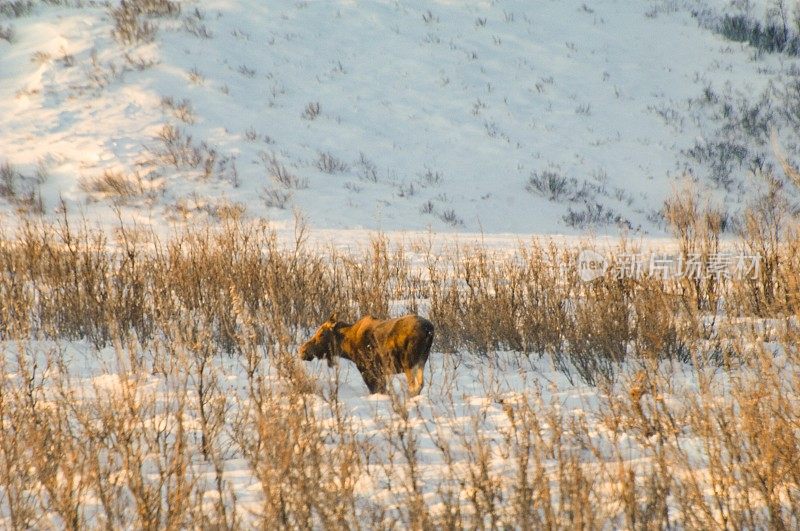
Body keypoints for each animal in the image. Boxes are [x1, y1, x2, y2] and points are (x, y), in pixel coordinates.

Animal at [300, 314, 438, 396]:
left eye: (321, 334)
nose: (302, 350)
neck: (346, 347)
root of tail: (429, 330)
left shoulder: (368, 369)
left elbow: (376, 389)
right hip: (421, 361)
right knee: (420, 384)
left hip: (408, 363)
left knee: (413, 386)